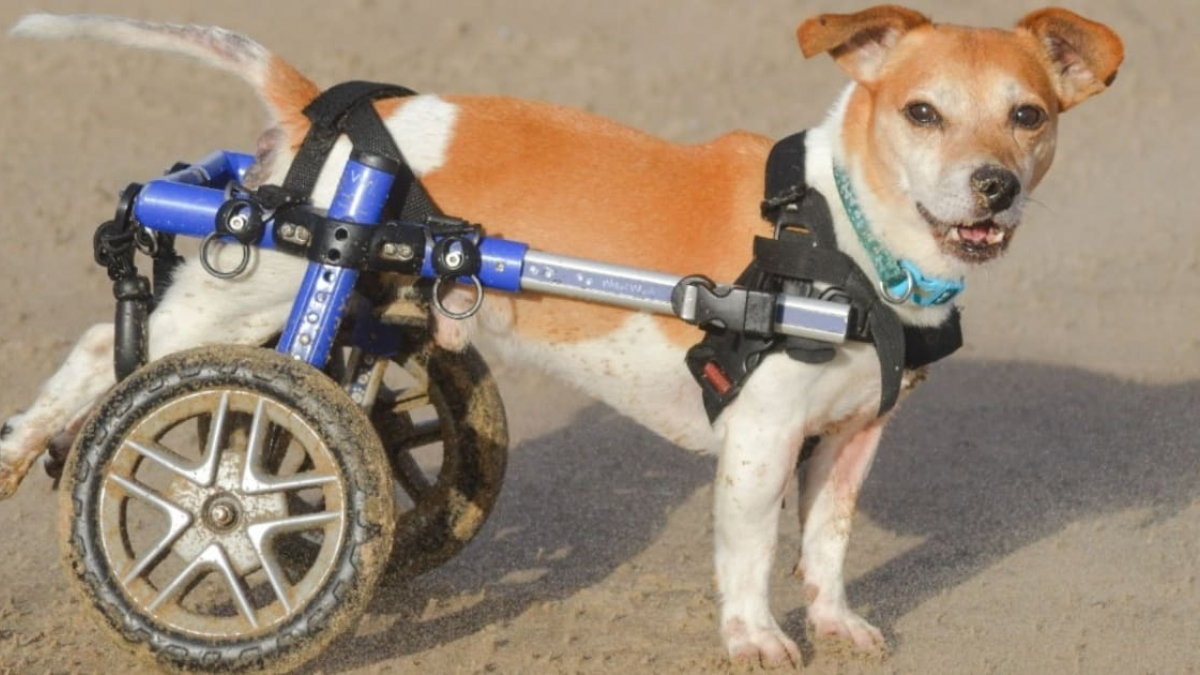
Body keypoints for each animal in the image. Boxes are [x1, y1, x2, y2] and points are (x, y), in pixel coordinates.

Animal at [4, 5, 1118, 662]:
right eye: (922, 113)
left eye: (1028, 115)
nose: (994, 187)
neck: (846, 238)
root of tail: (327, 107)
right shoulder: (759, 442)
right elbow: (753, 550)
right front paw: (755, 636)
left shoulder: (848, 440)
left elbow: (827, 542)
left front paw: (836, 619)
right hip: (246, 291)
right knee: (107, 358)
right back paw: (27, 446)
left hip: (335, 306)